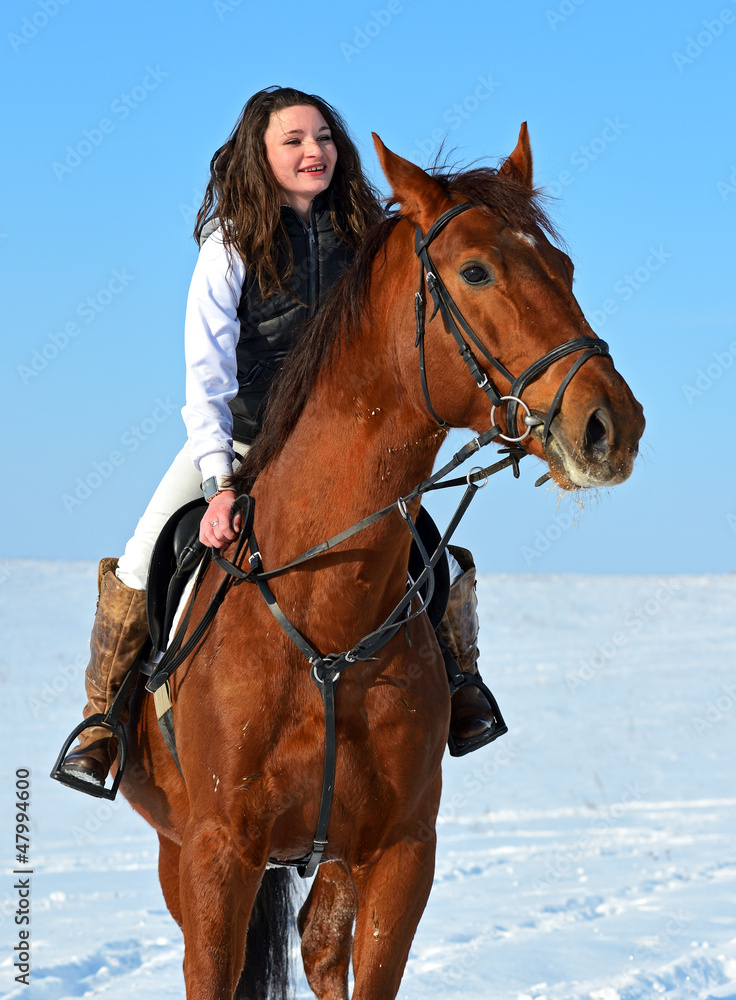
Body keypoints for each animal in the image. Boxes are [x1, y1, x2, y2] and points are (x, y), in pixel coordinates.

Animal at [119, 124, 645, 1000]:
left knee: (320, 948)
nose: (612, 425)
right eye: (476, 270)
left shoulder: (401, 854)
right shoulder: (216, 856)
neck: (325, 615)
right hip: (178, 852)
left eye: (564, 269)